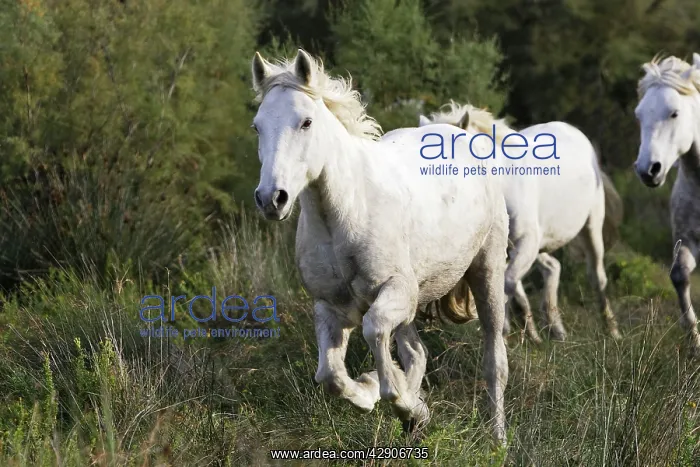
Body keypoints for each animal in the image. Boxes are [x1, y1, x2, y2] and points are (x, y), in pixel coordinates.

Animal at [250, 49, 510, 442]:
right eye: (257, 126)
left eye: (306, 122)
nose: (271, 199)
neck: (346, 212)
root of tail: (461, 133)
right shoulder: (330, 306)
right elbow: (330, 375)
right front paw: (385, 397)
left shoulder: (394, 290)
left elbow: (372, 331)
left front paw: (395, 397)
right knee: (416, 351)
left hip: (487, 272)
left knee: (494, 359)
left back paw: (497, 440)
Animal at [419, 102, 624, 343]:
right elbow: (513, 286)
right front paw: (528, 334)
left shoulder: (526, 242)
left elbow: (507, 284)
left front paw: (506, 331)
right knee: (553, 268)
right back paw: (556, 331)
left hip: (591, 228)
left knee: (597, 277)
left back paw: (612, 330)